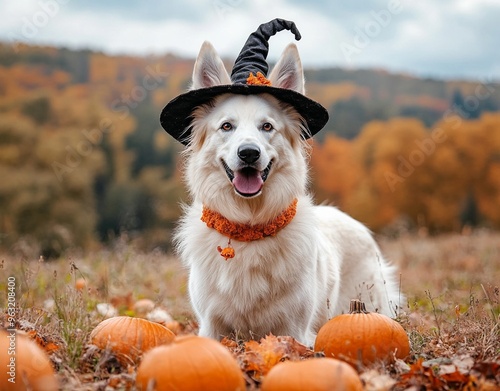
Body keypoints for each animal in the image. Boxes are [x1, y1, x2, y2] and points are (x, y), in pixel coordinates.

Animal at [168, 38, 402, 348]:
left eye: (267, 126)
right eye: (226, 126)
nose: (249, 153)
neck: (249, 227)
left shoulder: (294, 330)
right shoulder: (211, 327)